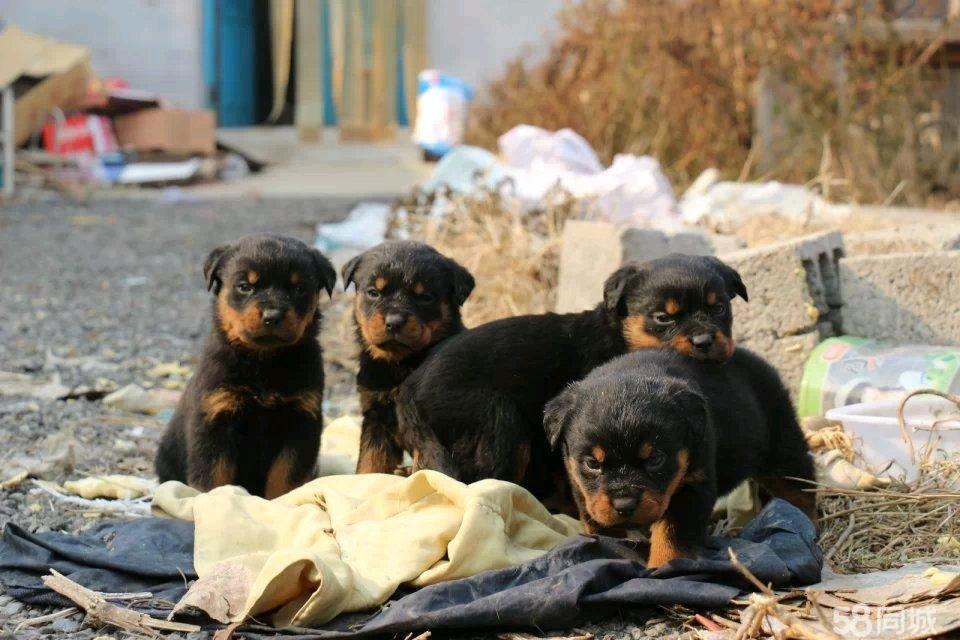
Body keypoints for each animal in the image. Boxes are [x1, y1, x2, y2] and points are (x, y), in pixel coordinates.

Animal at [155, 232, 338, 498]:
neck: (264, 362)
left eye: (299, 289)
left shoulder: (301, 422)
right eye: (245, 286)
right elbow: (213, 476)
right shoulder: (215, 418)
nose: (272, 315)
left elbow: (287, 477)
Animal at [342, 241, 476, 476]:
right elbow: (370, 461)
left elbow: (428, 463)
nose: (394, 322)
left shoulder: (424, 425)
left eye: (426, 298)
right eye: (373, 293)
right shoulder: (375, 415)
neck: (402, 363)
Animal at [394, 252, 748, 498]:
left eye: (720, 309)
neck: (620, 335)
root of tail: (409, 388)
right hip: (495, 422)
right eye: (663, 317)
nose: (704, 341)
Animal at [544, 348, 812, 568]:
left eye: (655, 459)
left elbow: (672, 531)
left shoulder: (693, 485)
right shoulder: (583, 492)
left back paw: (804, 522)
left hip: (782, 448)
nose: (624, 504)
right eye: (592, 463)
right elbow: (602, 525)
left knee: (798, 488)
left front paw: (664, 566)